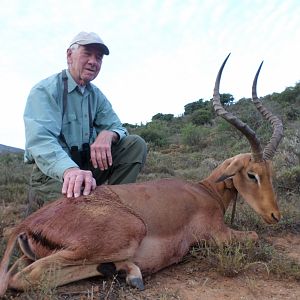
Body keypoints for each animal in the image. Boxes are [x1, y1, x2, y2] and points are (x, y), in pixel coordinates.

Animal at [0, 54, 282, 296]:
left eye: (271, 172)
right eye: (252, 174)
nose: (274, 216)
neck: (204, 191)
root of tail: (27, 224)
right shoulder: (217, 234)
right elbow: (254, 236)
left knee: (18, 271)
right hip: (124, 234)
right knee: (26, 276)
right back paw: (131, 272)